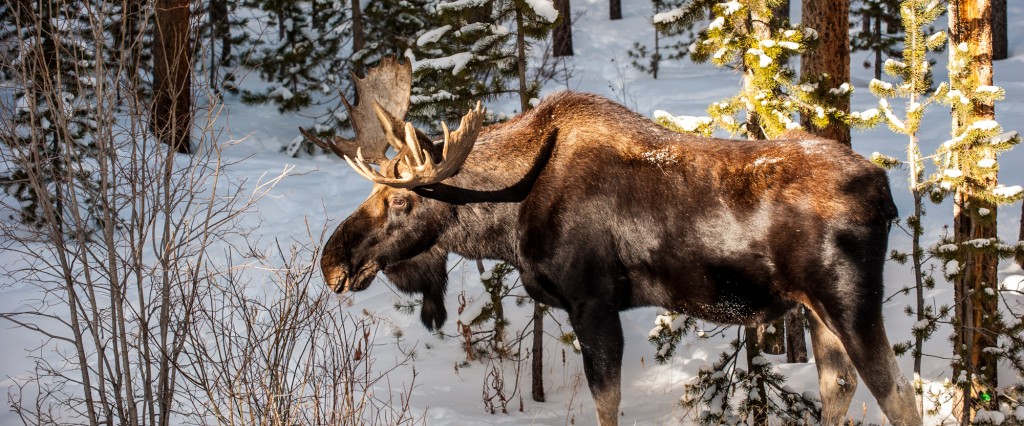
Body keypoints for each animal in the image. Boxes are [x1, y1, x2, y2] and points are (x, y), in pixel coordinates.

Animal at [307, 59, 925, 426]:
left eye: (402, 202)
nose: (332, 263)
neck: (507, 224)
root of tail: (885, 193)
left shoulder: (594, 300)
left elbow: (607, 402)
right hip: (817, 311)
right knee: (839, 386)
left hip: (849, 301)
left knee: (899, 395)